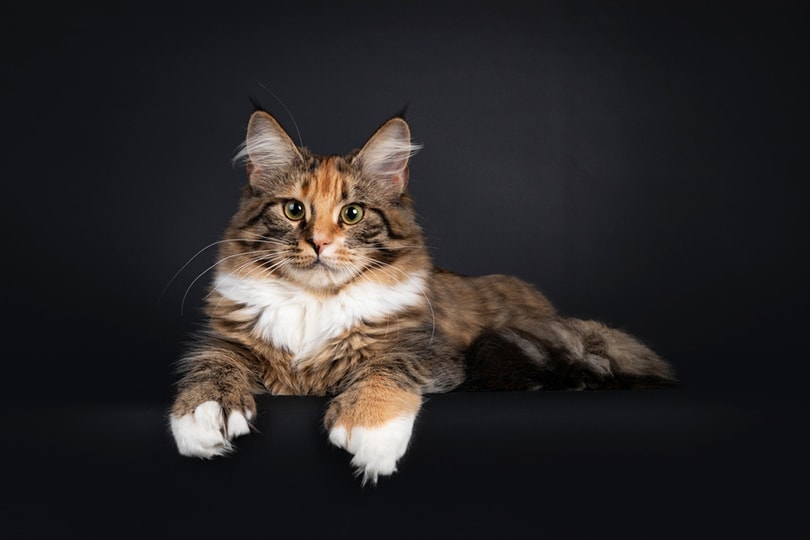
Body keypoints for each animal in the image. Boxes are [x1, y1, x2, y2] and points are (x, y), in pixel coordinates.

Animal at [167, 106, 672, 486]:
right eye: (294, 210)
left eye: (352, 214)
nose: (319, 243)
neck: (316, 300)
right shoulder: (228, 341)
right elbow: (214, 363)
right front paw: (204, 414)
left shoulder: (428, 351)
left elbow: (384, 366)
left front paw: (369, 427)